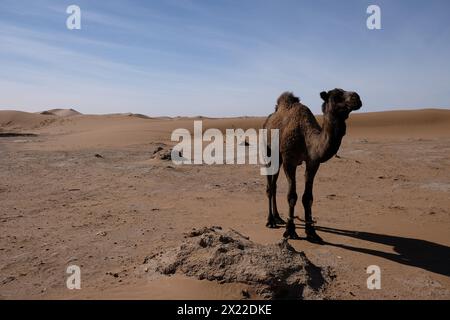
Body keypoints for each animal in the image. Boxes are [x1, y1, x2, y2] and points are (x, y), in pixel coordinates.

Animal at [264, 87, 362, 242]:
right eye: (336, 96)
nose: (357, 98)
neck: (307, 138)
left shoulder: (313, 162)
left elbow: (308, 197)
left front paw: (311, 232)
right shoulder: (289, 161)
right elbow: (292, 196)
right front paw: (290, 231)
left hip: (278, 159)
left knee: (274, 185)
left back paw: (278, 217)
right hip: (268, 152)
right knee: (269, 186)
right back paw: (271, 221)